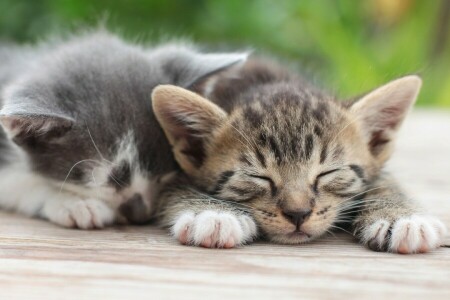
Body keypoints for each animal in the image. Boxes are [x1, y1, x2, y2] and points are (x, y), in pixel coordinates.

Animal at [150, 58, 446, 253]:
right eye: (258, 177)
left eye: (328, 172)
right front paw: (213, 214)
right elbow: (174, 187)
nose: (298, 214)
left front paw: (403, 217)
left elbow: (384, 178)